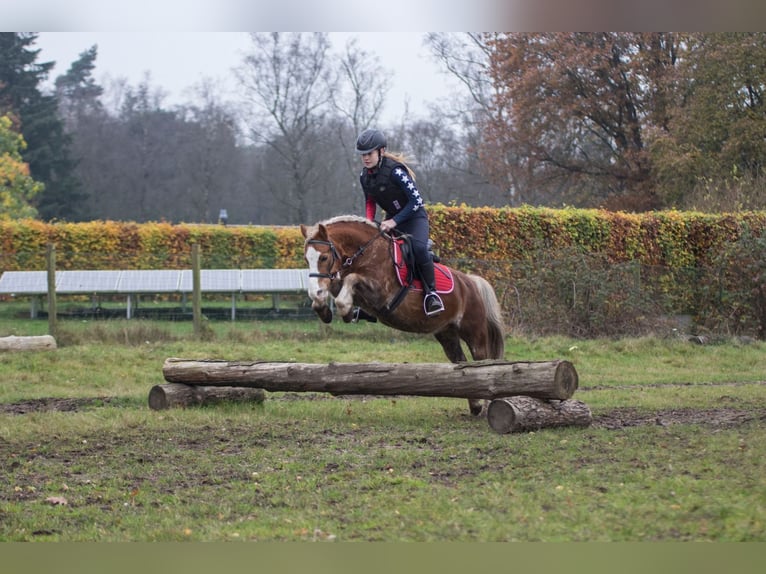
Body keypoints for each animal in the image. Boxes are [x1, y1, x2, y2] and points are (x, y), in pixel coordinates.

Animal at [300, 215, 505, 416]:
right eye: (306, 259)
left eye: (324, 257)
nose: (315, 291)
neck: (367, 252)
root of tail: (471, 282)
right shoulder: (342, 282)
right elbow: (334, 289)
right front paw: (325, 308)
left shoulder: (380, 292)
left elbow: (351, 280)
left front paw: (344, 310)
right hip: (447, 333)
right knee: (461, 363)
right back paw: (475, 405)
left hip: (474, 332)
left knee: (483, 361)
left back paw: (486, 404)